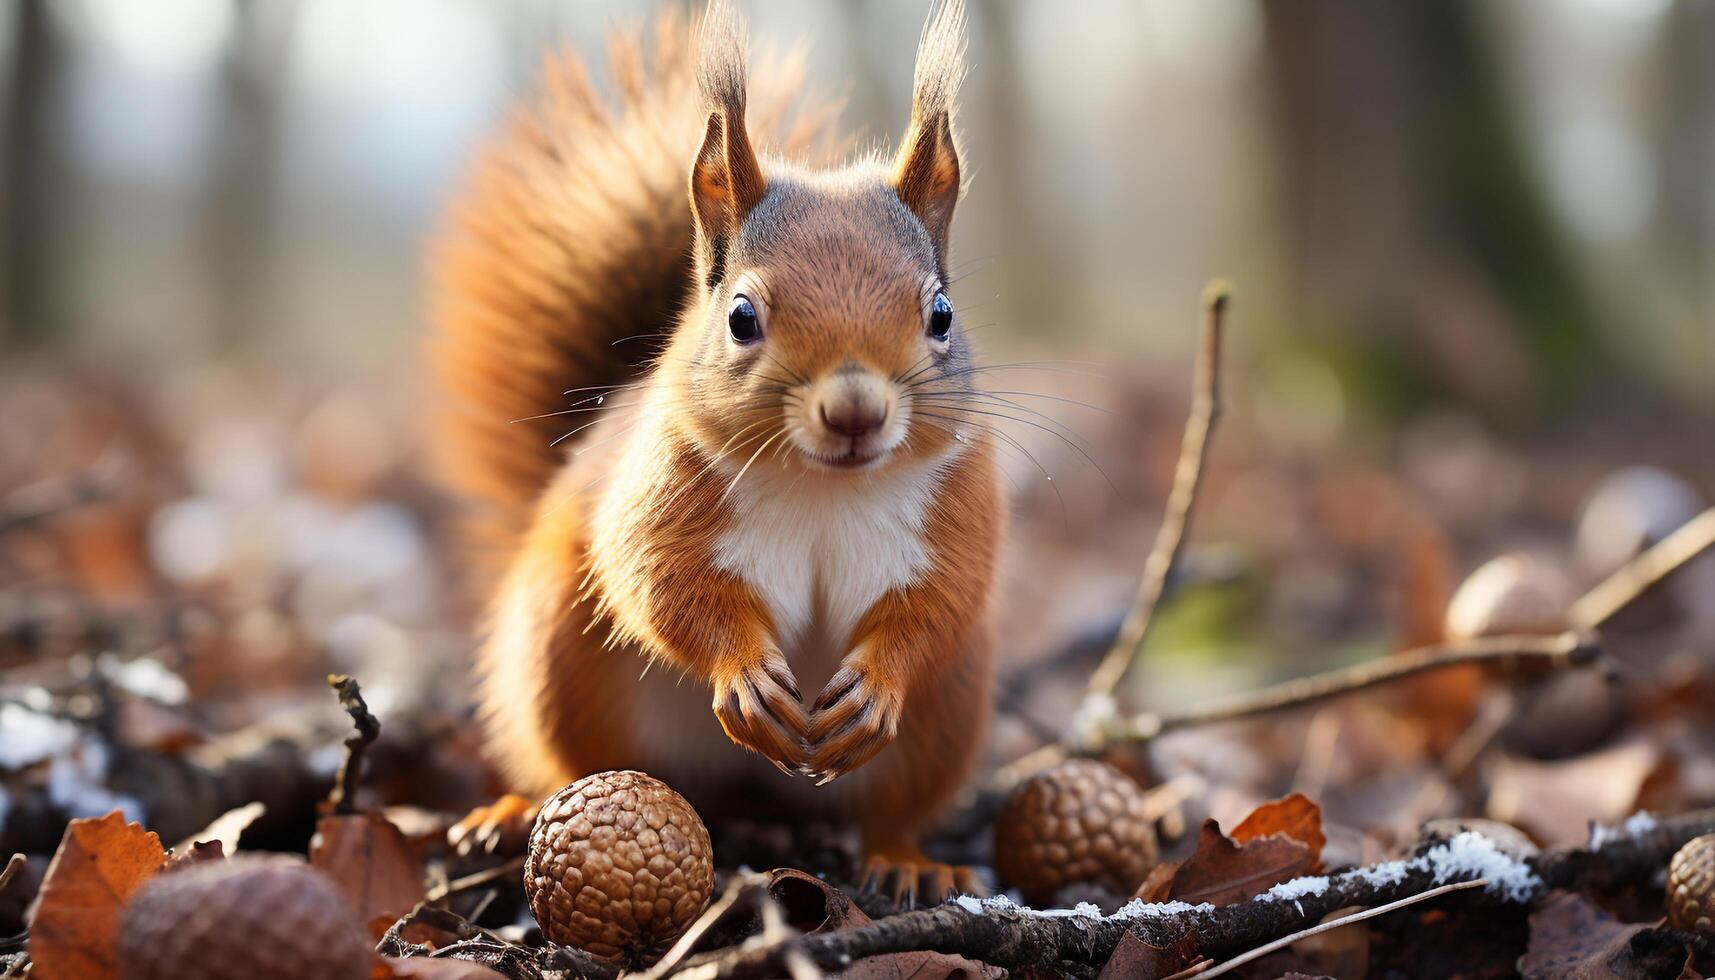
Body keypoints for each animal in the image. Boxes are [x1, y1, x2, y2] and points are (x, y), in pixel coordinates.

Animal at [428, 1, 1001, 906]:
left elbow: (943, 600)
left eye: (940, 313)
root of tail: (751, 798)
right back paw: (515, 813)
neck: (822, 487)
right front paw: (743, 675)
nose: (856, 411)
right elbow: (661, 581)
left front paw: (877, 684)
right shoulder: (661, 488)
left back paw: (906, 860)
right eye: (740, 317)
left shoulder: (960, 505)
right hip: (556, 656)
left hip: (950, 709)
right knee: (567, 761)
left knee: (894, 808)